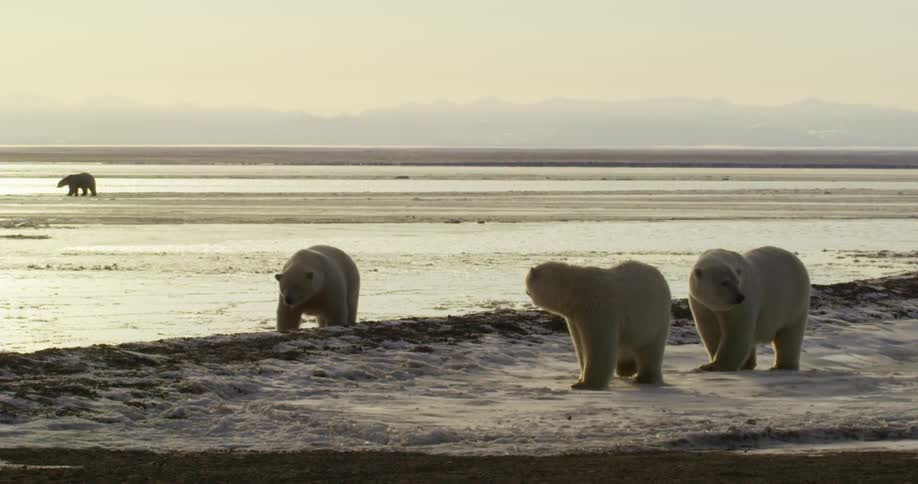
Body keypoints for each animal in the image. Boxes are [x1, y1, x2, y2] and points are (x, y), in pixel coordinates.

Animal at [526, 260, 672, 389]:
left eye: (527, 283)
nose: (526, 291)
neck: (574, 291)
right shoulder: (575, 317)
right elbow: (580, 345)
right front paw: (579, 380)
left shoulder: (596, 308)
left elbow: (598, 344)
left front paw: (586, 384)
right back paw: (626, 368)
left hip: (655, 317)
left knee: (650, 348)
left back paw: (645, 378)